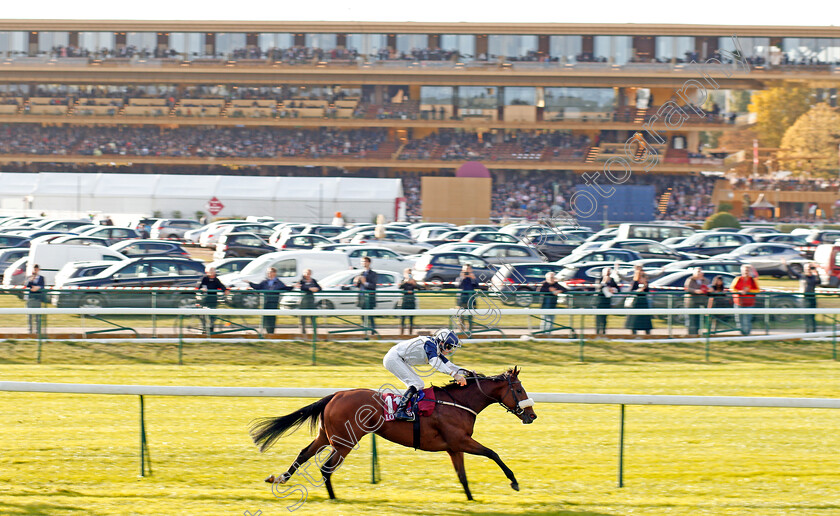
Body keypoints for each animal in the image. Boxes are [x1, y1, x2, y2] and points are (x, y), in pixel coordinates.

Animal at [249, 364, 540, 502]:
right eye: (519, 390)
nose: (532, 416)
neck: (459, 401)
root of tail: (335, 395)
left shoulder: (454, 446)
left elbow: (462, 475)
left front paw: (470, 499)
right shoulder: (461, 440)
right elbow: (493, 453)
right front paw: (514, 481)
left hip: (327, 436)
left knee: (304, 454)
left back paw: (280, 478)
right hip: (345, 441)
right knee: (326, 468)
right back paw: (333, 497)